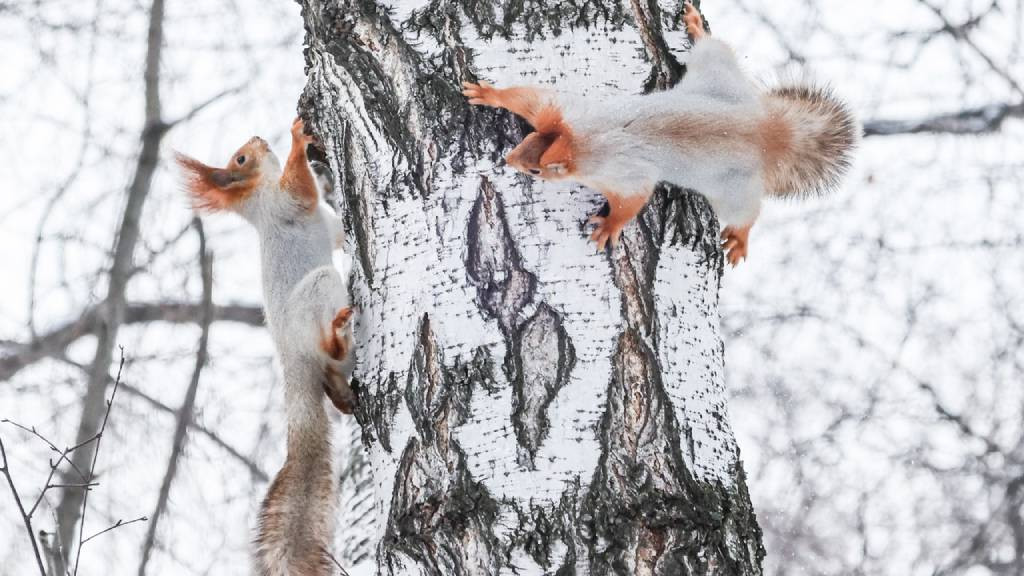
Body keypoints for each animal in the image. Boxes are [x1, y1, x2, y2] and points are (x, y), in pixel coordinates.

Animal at [176, 117, 352, 573]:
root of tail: (293, 363)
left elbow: (339, 235)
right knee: (329, 348)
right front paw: (298, 138)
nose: (256, 138)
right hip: (318, 290)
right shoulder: (284, 201)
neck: (258, 194)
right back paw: (339, 332)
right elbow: (300, 184)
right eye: (240, 159)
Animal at [464, 0, 856, 264]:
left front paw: (609, 227)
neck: (580, 142)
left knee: (747, 212)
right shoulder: (562, 113)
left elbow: (632, 199)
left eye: (535, 170)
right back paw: (697, 27)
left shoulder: (619, 171)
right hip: (718, 75)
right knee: (714, 49)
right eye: (527, 140)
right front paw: (487, 94)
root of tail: (765, 129)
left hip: (732, 189)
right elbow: (529, 97)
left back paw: (741, 237)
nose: (508, 160)